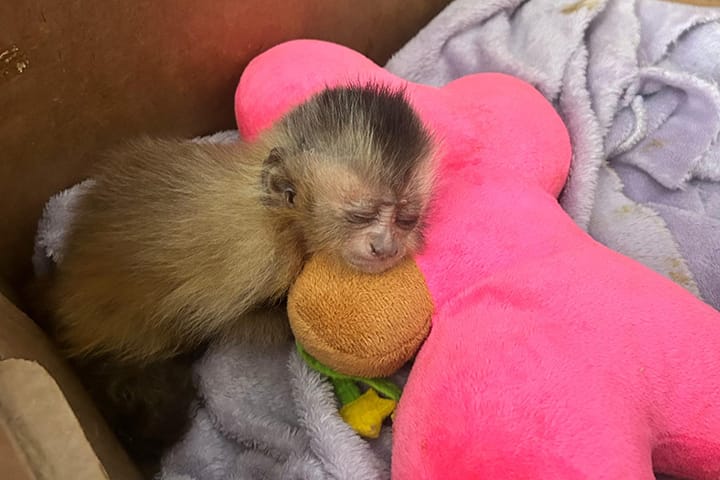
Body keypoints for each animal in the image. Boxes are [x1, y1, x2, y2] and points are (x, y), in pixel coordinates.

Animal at [35, 83, 437, 473]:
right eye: (360, 214)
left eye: (406, 219)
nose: (385, 247)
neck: (281, 217)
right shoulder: (260, 257)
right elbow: (227, 321)